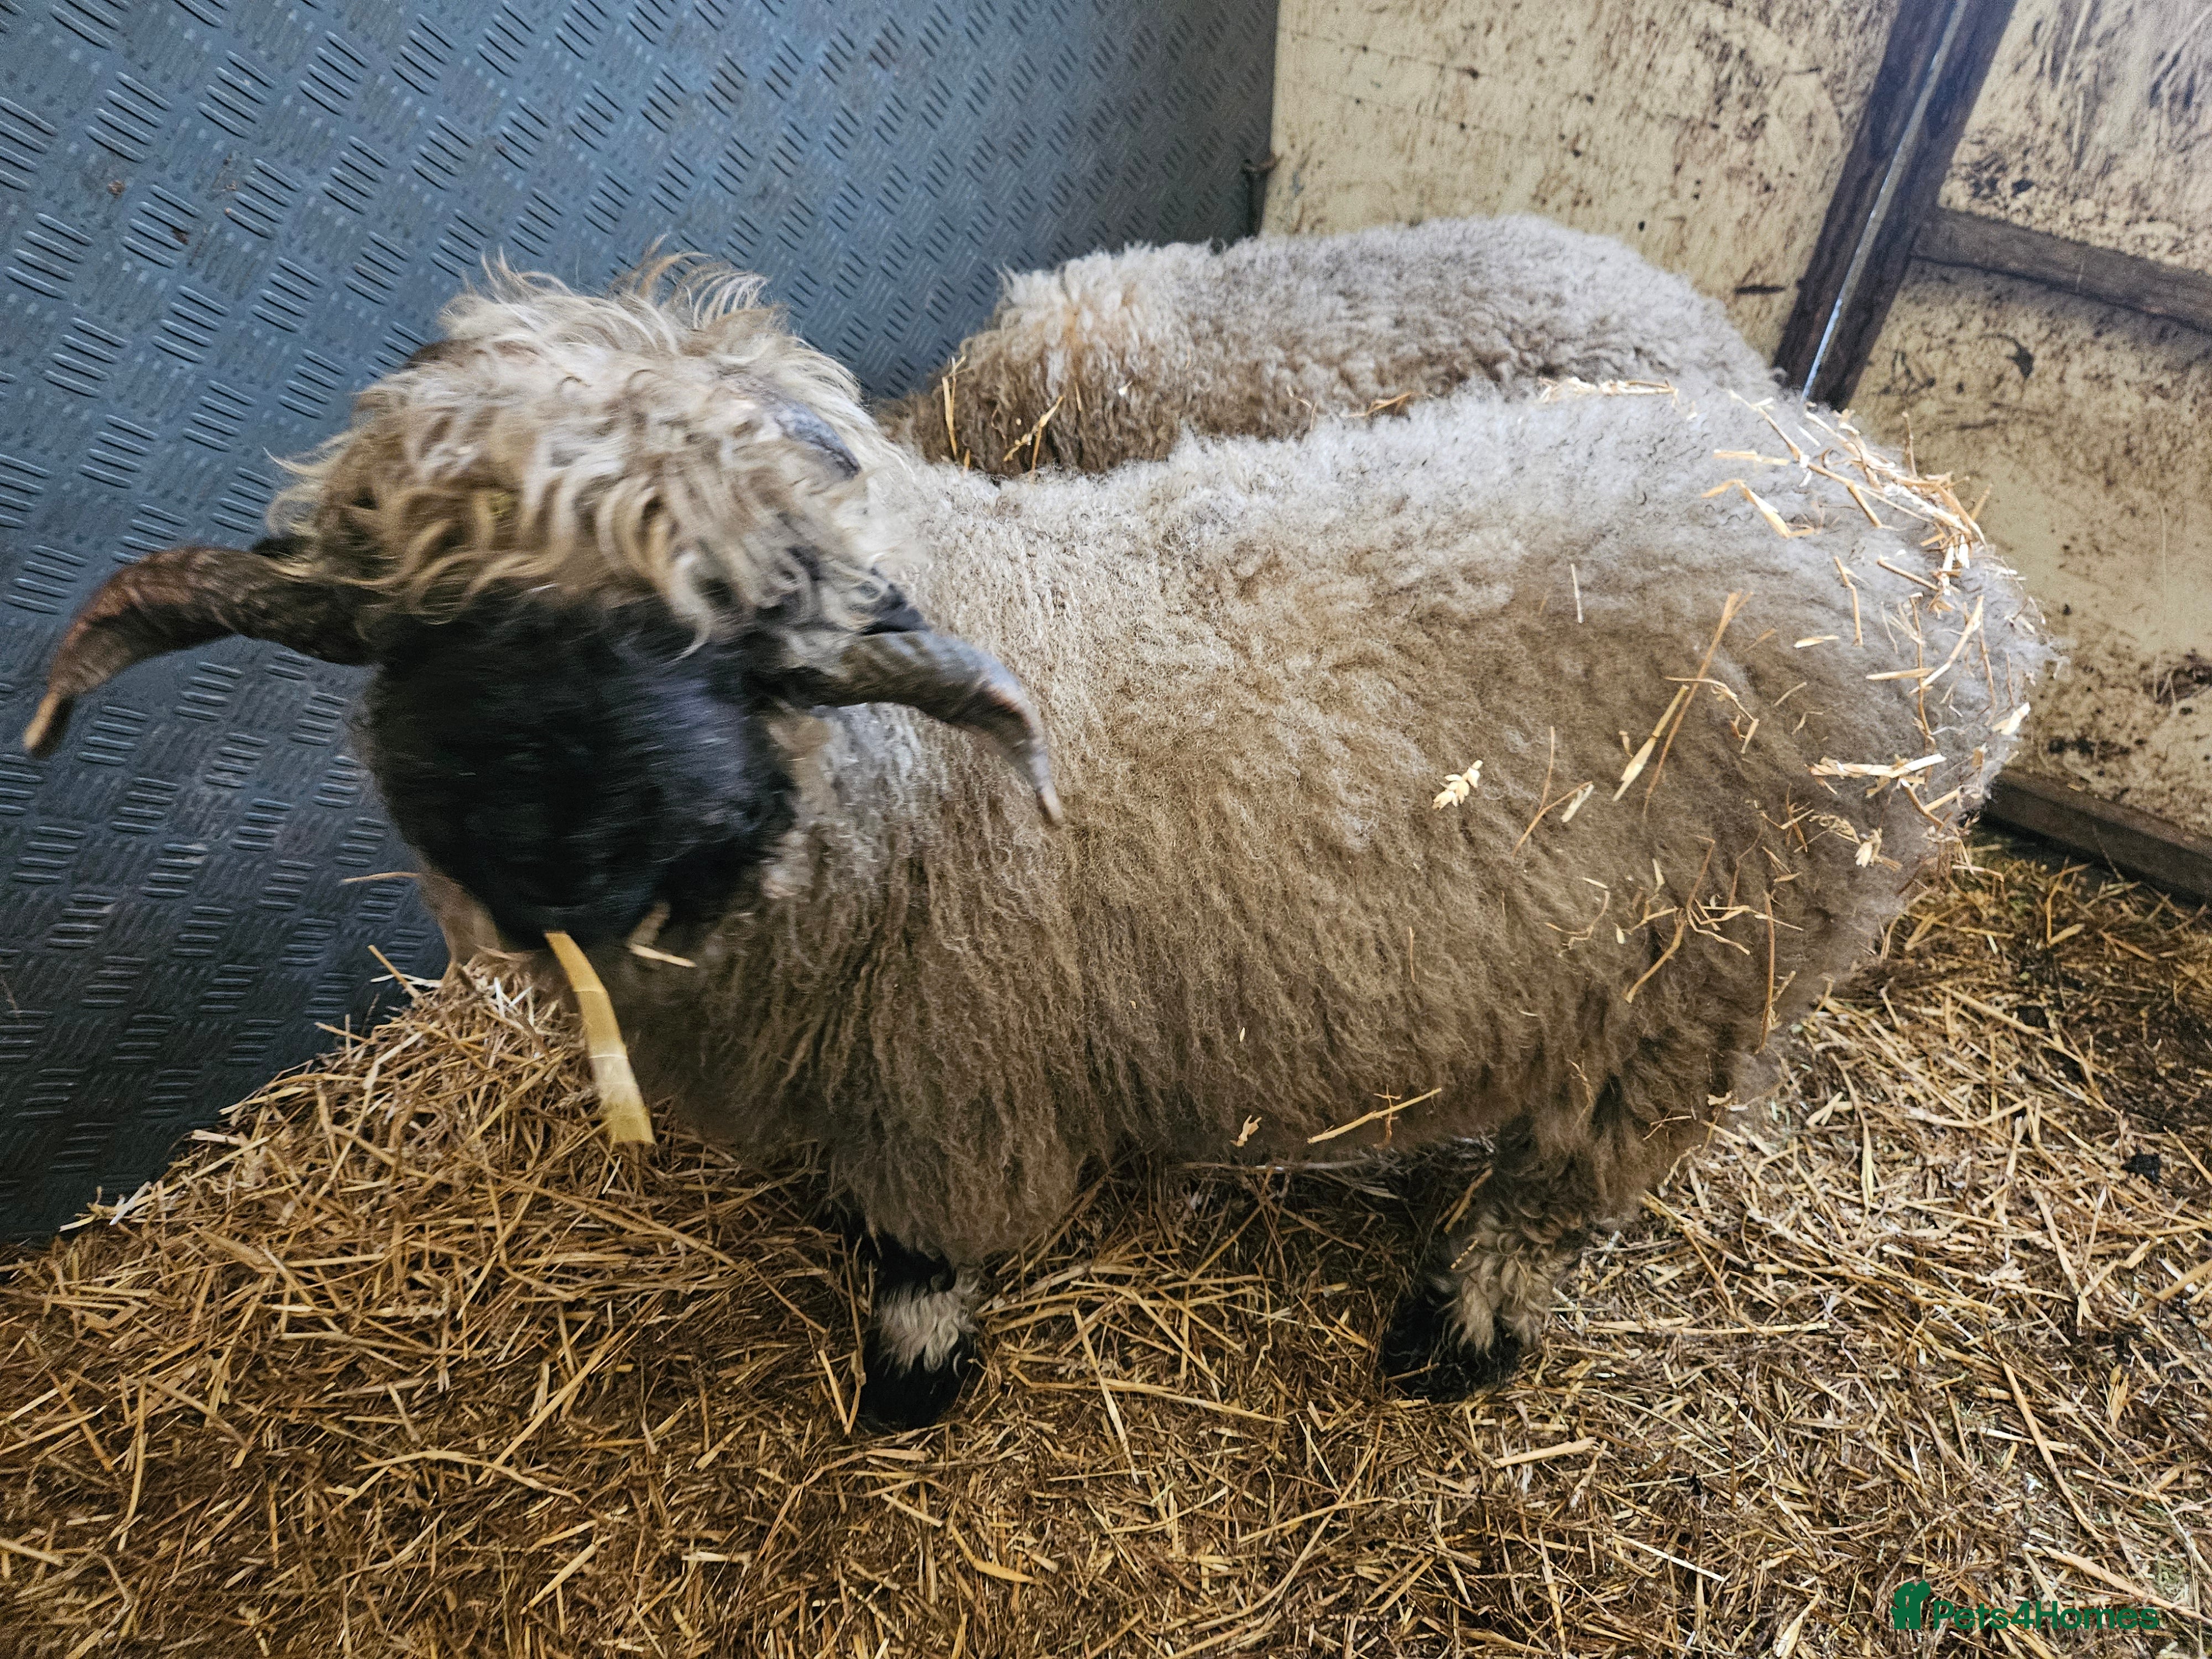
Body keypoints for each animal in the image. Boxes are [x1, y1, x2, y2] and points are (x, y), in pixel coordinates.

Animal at [25, 259, 2047, 1433]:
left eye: (738, 636)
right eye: (429, 631)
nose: (578, 864)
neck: (879, 798)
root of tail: (1922, 522)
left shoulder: (950, 1084)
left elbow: (928, 1260)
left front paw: (910, 1381)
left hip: (1711, 983)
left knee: (1578, 1175)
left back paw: (1461, 1323)